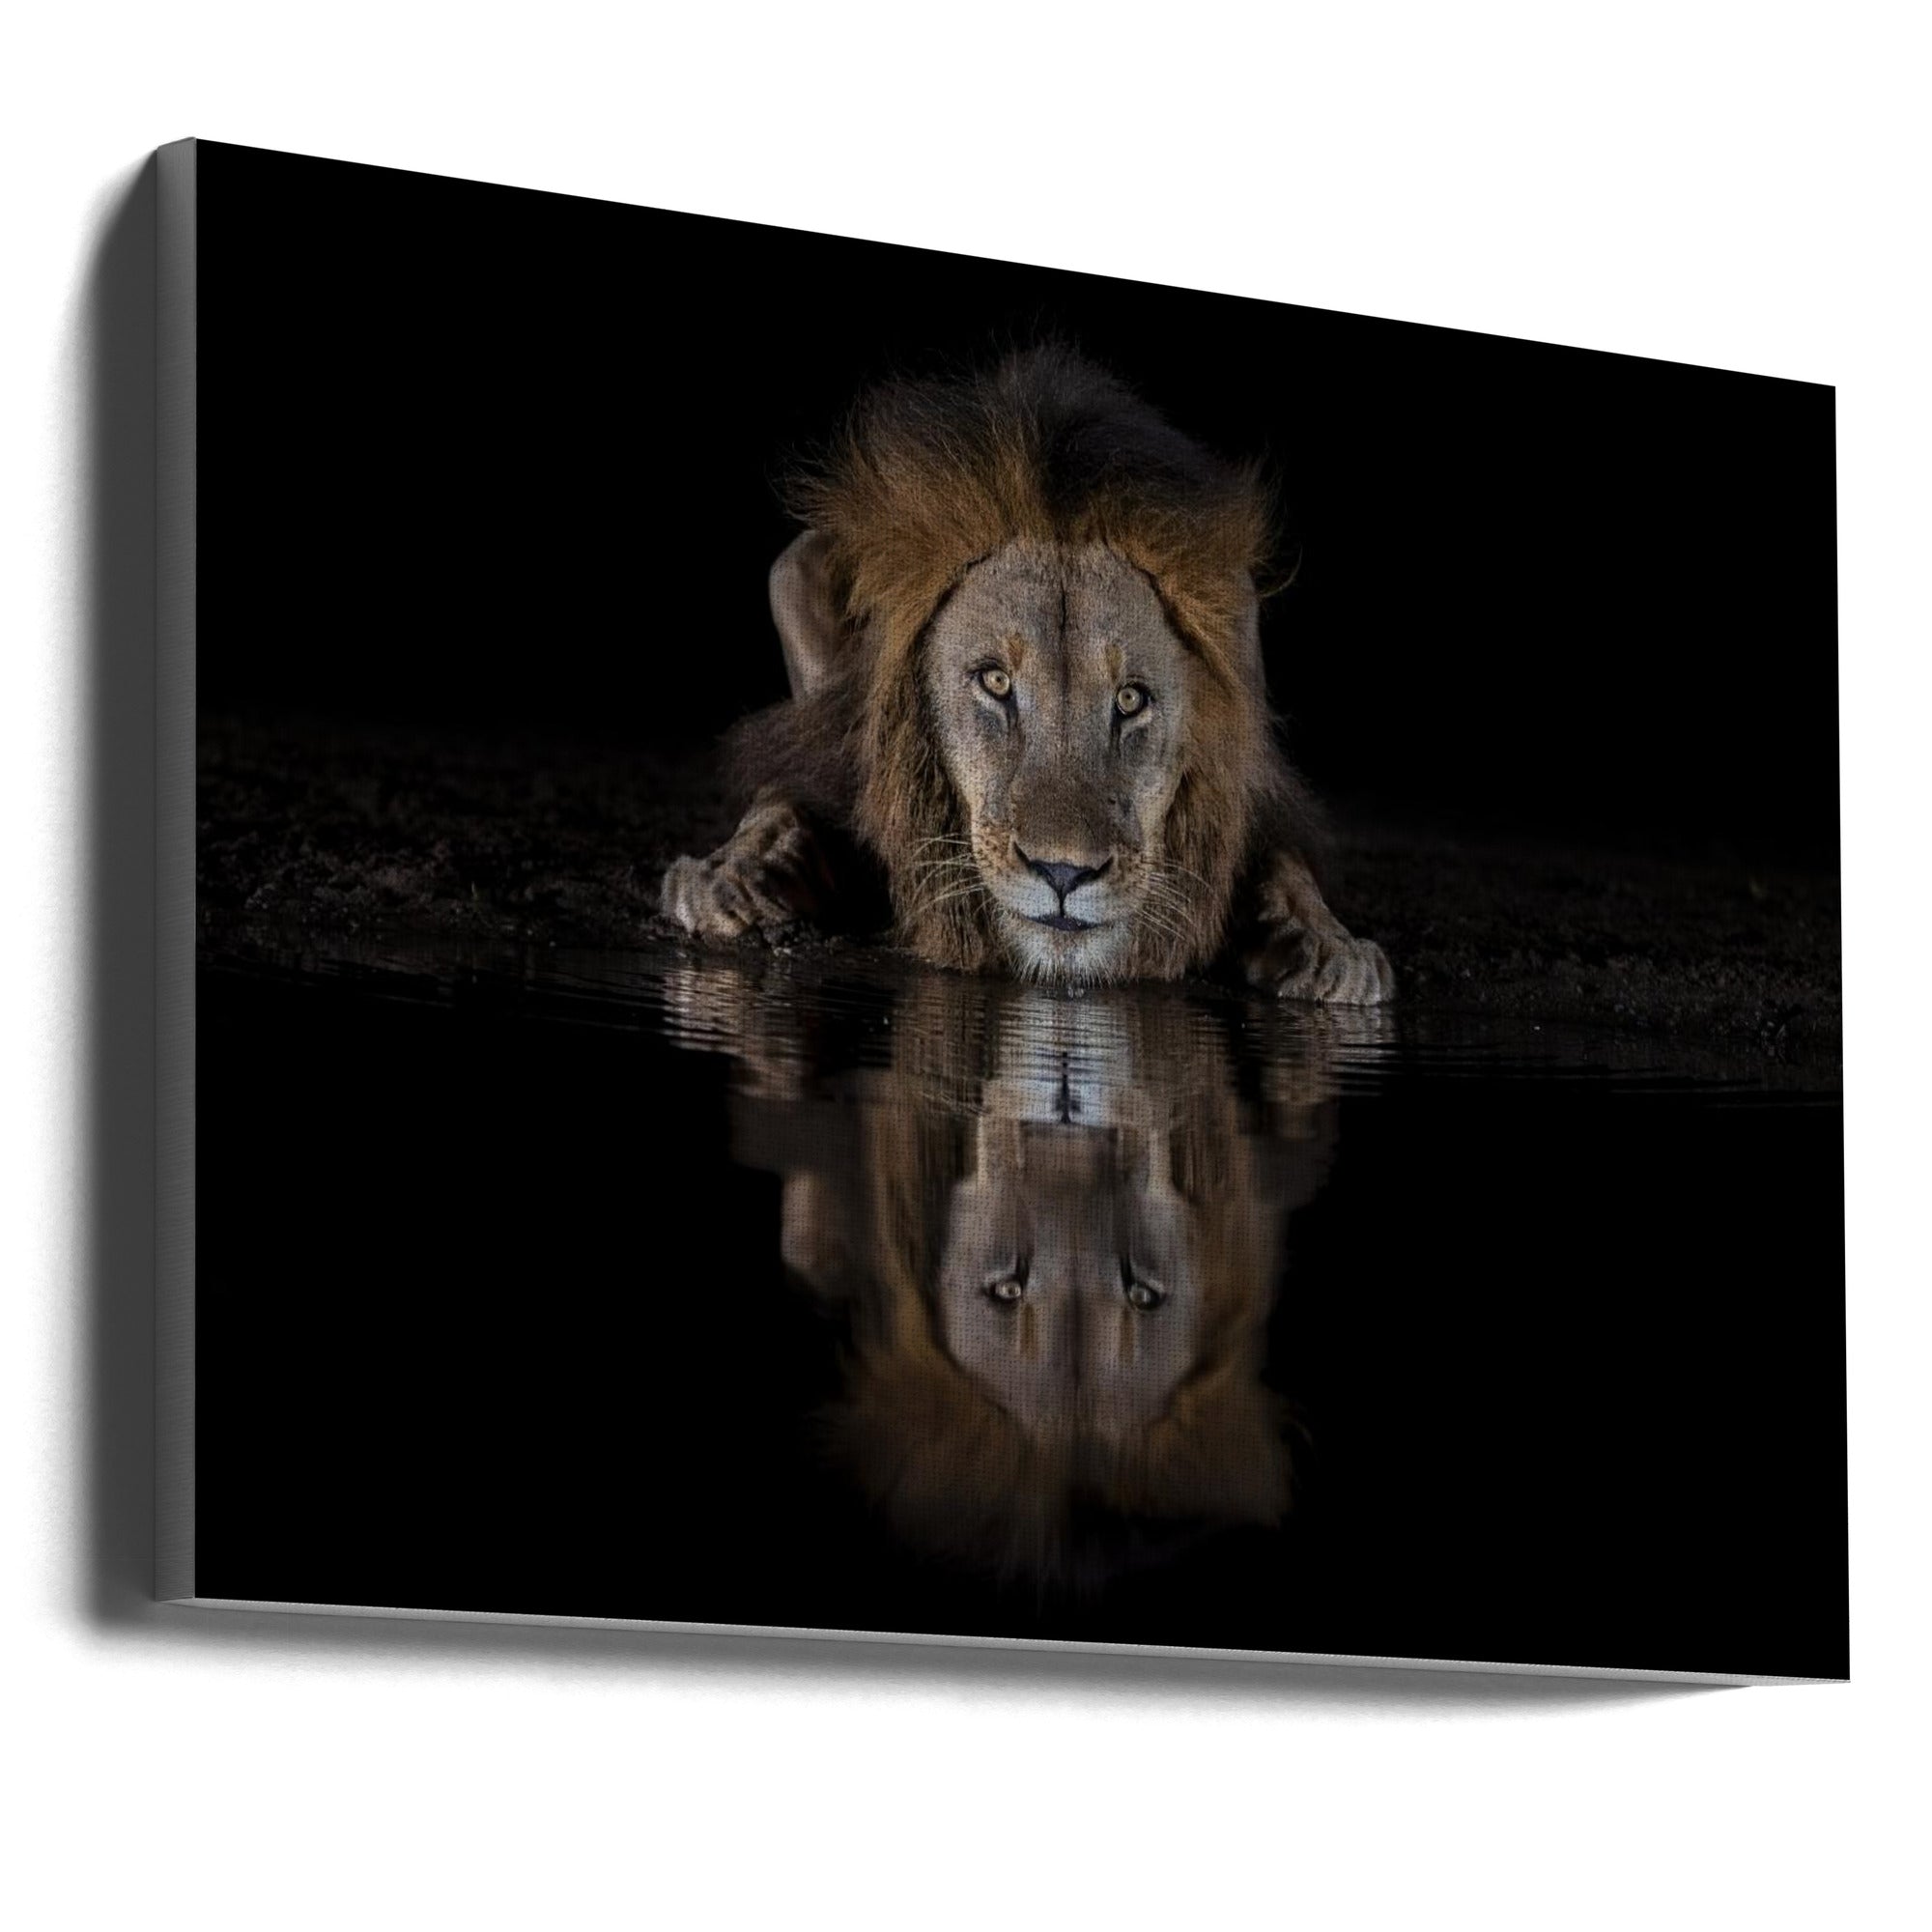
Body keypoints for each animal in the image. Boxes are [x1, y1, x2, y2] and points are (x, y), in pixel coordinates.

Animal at [662, 344, 1392, 1003]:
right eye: (995, 683)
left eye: (1131, 700)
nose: (1063, 874)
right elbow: (791, 793)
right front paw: (734, 878)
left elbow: (1283, 863)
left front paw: (1330, 950)